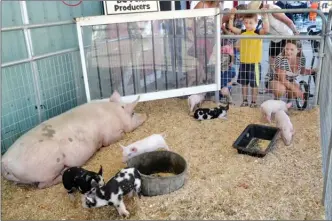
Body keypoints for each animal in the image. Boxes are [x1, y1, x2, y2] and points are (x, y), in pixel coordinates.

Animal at [1, 90, 147, 189]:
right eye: (133, 113)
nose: (145, 115)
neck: (115, 114)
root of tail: (4, 162)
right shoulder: (109, 135)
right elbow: (114, 138)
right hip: (48, 167)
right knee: (41, 185)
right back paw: (61, 174)